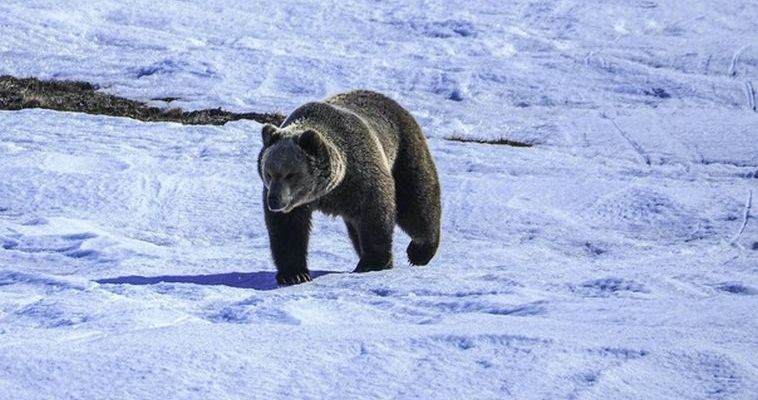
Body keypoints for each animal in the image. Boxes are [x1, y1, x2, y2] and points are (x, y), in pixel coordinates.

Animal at [260, 90, 442, 284]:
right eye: (269, 173)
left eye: (290, 174)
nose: (274, 200)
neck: (328, 190)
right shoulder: (297, 203)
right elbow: (287, 230)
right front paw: (294, 274)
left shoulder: (361, 177)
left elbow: (376, 214)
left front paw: (373, 263)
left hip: (404, 152)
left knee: (417, 201)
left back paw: (420, 251)